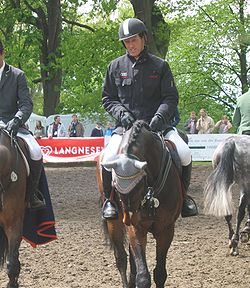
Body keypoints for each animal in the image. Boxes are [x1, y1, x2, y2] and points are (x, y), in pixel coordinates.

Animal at [95, 120, 184, 286]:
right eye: (115, 186)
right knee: (121, 258)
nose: (129, 219)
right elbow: (143, 276)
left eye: (139, 185)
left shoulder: (166, 229)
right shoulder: (137, 228)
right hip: (114, 222)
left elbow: (159, 273)